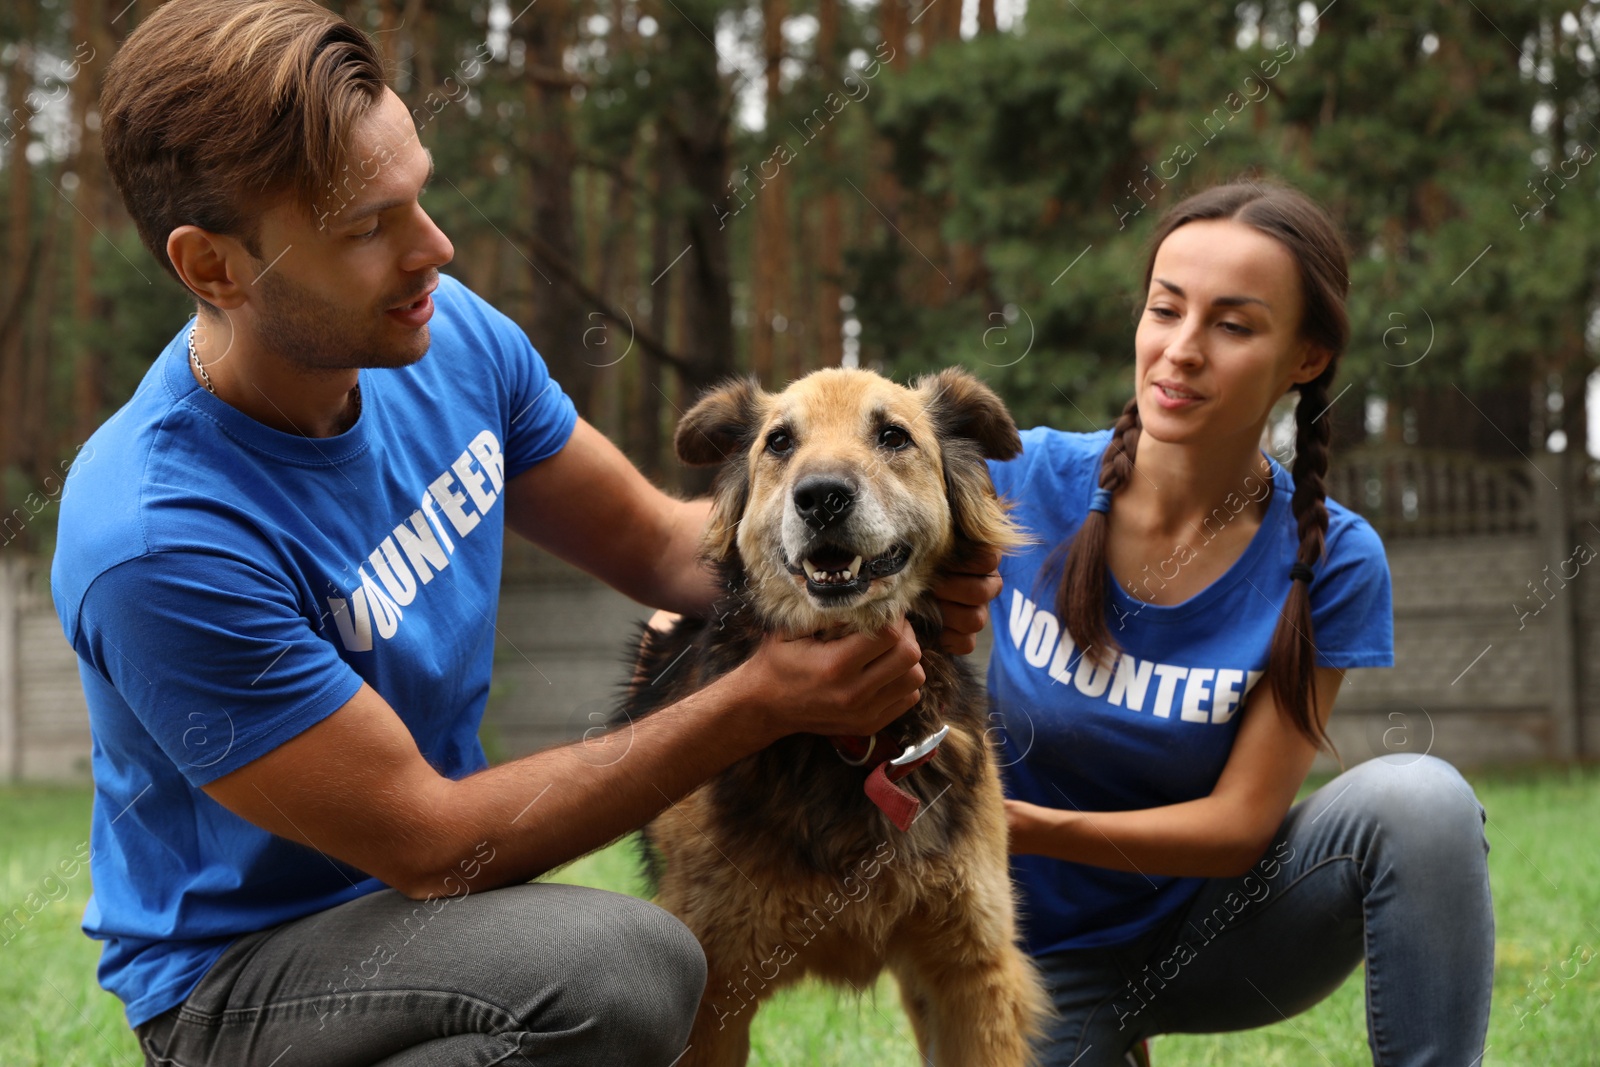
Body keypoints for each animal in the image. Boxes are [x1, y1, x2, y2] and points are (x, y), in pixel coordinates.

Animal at [620, 364, 1049, 1062]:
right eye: (779, 442)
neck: (851, 741)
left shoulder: (973, 972)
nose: (821, 498)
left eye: (894, 436)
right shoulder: (712, 990)